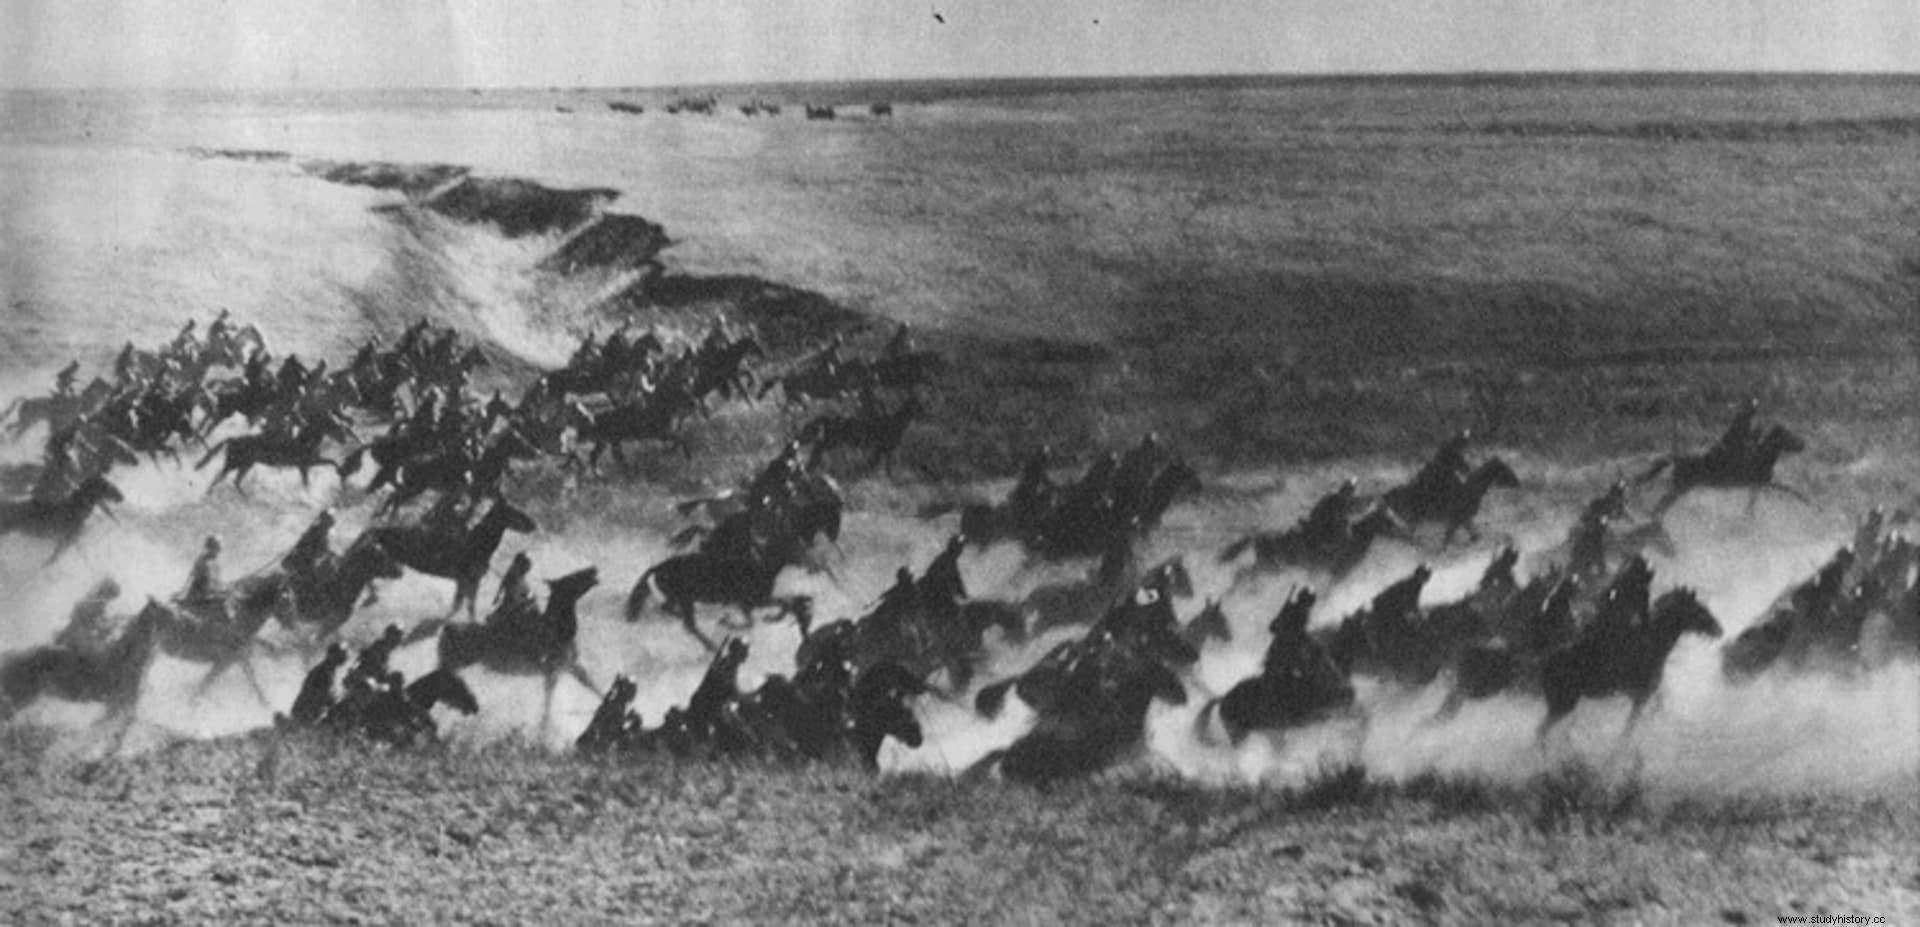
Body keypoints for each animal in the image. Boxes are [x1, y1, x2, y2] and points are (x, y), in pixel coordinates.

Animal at [1528, 594, 1728, 748]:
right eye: (1699, 609)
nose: (1719, 629)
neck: (1655, 644)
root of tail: (1542, 662)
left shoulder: (1642, 694)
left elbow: (1649, 715)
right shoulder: (1641, 696)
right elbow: (1629, 729)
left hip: (1563, 703)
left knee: (1544, 731)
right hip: (1563, 703)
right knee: (1540, 731)